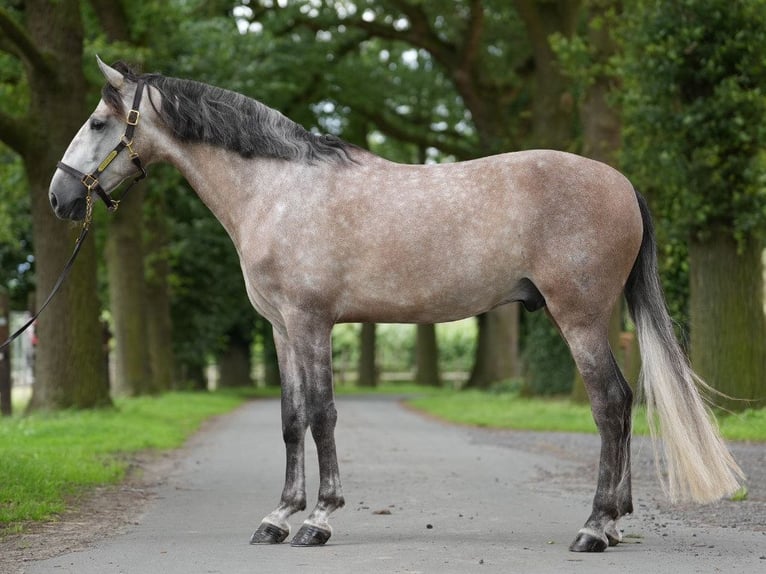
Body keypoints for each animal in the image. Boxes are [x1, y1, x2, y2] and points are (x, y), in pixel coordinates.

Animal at [48, 58, 744, 552]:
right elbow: (291, 419)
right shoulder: (280, 329)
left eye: (99, 123)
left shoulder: (312, 323)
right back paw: (616, 522)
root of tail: (621, 182)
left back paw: (595, 527)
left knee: (611, 404)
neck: (279, 190)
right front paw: (278, 517)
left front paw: (318, 520)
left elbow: (323, 415)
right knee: (621, 404)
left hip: (580, 318)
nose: (60, 198)